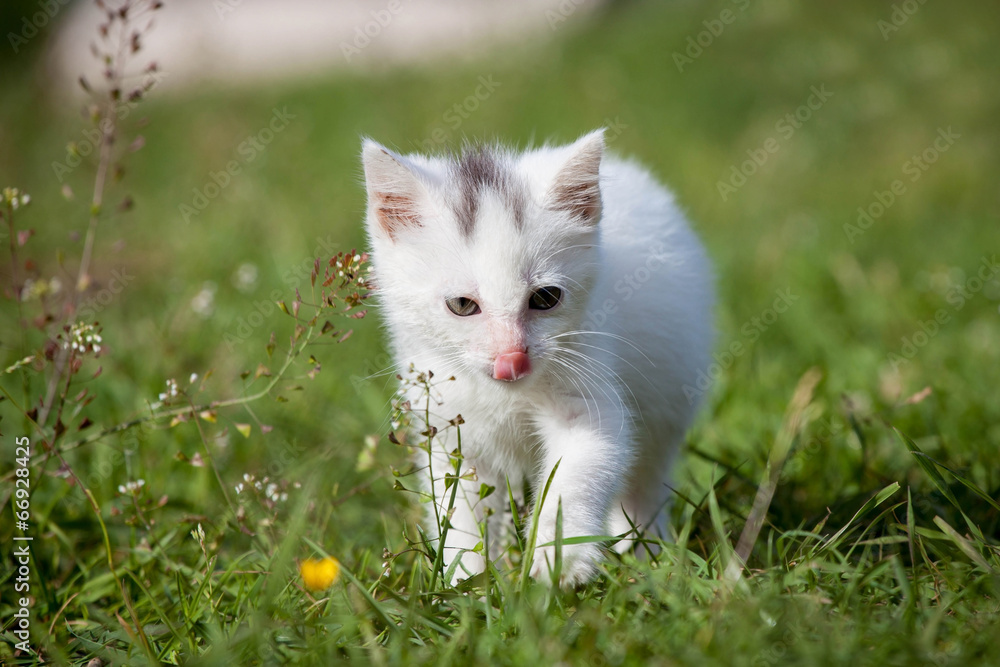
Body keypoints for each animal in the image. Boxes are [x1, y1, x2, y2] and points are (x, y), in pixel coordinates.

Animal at [364, 129, 716, 584]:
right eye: (462, 304)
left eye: (546, 298)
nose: (511, 360)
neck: (506, 397)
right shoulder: (451, 430)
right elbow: (459, 511)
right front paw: (467, 583)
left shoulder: (588, 396)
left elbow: (579, 471)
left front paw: (559, 556)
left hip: (671, 395)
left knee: (647, 478)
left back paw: (647, 556)